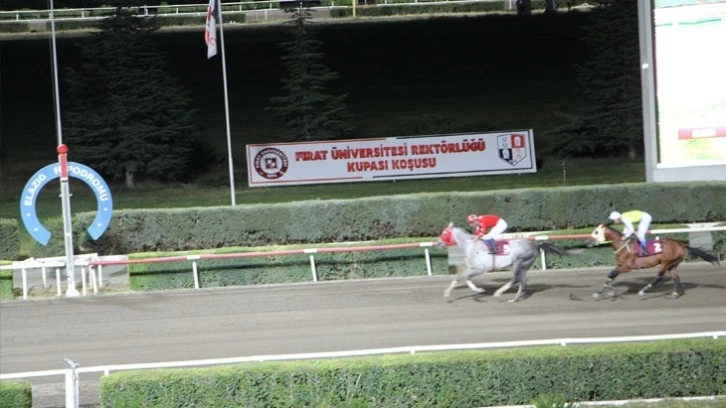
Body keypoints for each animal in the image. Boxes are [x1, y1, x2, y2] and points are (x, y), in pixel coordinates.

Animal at [436, 223, 576, 302]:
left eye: (444, 233)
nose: (437, 243)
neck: (471, 246)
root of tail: (535, 246)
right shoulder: (473, 268)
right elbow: (462, 278)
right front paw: (477, 290)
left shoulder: (480, 269)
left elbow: (463, 278)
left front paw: (477, 291)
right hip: (524, 266)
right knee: (523, 282)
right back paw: (515, 299)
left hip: (519, 262)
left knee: (516, 279)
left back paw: (499, 293)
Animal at [592, 223, 724, 300]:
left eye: (596, 232)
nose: (589, 242)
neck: (623, 246)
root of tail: (681, 244)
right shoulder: (620, 265)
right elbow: (611, 276)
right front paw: (605, 293)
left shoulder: (626, 267)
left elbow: (611, 275)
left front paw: (607, 293)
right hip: (673, 265)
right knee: (676, 279)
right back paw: (674, 295)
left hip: (666, 262)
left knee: (659, 277)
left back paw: (642, 291)